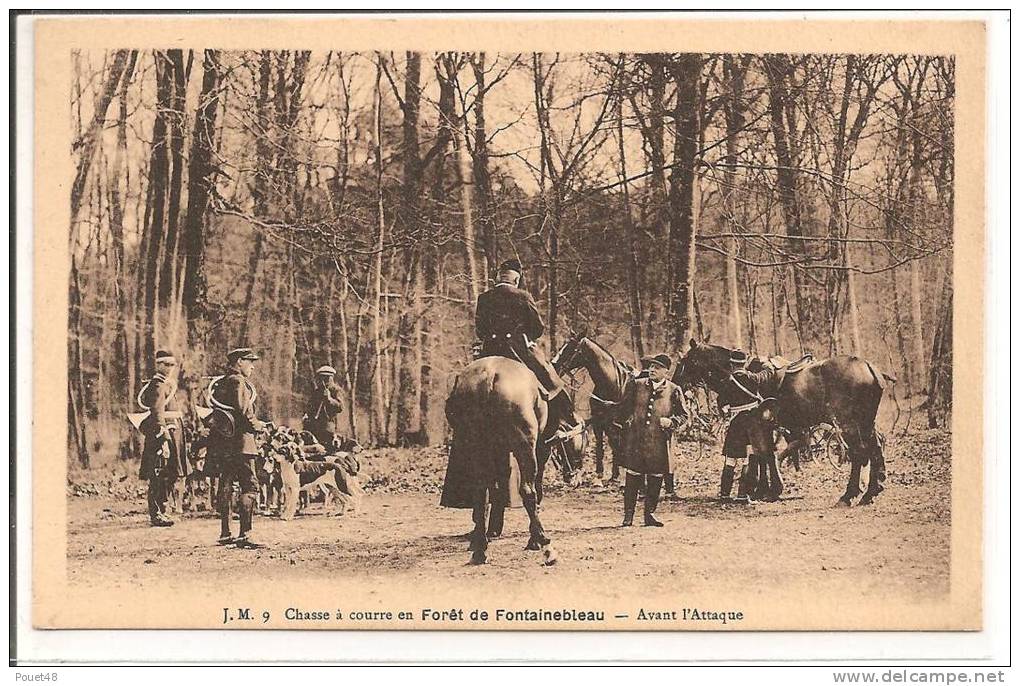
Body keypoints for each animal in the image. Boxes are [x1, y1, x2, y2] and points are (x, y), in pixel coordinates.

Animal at [444, 356, 583, 562]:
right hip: (525, 448)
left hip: (476, 446)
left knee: (481, 493)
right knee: (527, 491)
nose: (576, 479)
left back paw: (480, 547)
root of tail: (488, 375)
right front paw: (533, 539)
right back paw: (544, 542)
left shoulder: (499, 451)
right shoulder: (541, 450)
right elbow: (537, 490)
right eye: (580, 444)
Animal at [554, 334, 632, 479]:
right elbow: (600, 447)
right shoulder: (598, 422)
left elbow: (615, 446)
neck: (610, 385)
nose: (554, 365)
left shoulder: (615, 425)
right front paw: (600, 472)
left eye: (571, 348)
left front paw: (615, 473)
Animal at [677, 340, 893, 505]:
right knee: (875, 449)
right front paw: (763, 489)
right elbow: (765, 456)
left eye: (686, 361)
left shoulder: (760, 425)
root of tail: (868, 366)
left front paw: (770, 490)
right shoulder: (765, 427)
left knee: (859, 454)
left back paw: (849, 495)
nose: (677, 385)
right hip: (865, 424)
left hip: (848, 425)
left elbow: (766, 455)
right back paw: (871, 491)